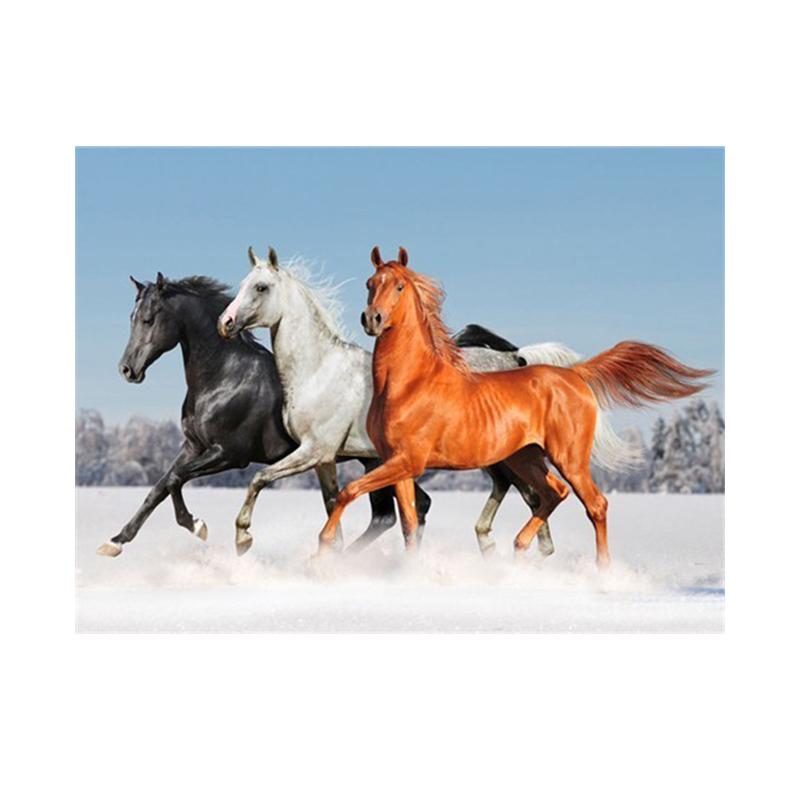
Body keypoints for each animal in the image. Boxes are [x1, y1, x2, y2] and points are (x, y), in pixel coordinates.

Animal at [95, 272, 434, 557]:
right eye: (132, 318)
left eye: (149, 319)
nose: (128, 369)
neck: (225, 376)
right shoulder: (193, 446)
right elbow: (161, 486)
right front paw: (115, 541)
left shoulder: (229, 454)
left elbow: (176, 479)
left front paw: (198, 526)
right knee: (405, 510)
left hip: (376, 461)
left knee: (396, 512)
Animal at [217, 247, 586, 557]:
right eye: (243, 284)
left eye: (261, 287)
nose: (226, 323)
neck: (319, 368)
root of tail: (516, 359)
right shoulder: (325, 460)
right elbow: (332, 505)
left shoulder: (314, 451)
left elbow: (258, 478)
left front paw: (243, 538)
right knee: (521, 491)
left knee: (531, 493)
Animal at [314, 246, 714, 568]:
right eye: (370, 283)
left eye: (398, 286)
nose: (372, 319)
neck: (409, 383)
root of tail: (574, 374)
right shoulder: (398, 464)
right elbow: (410, 524)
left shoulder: (407, 461)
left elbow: (348, 493)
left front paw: (321, 550)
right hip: (526, 457)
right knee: (552, 493)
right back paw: (519, 547)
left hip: (567, 457)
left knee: (594, 504)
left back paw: (602, 573)